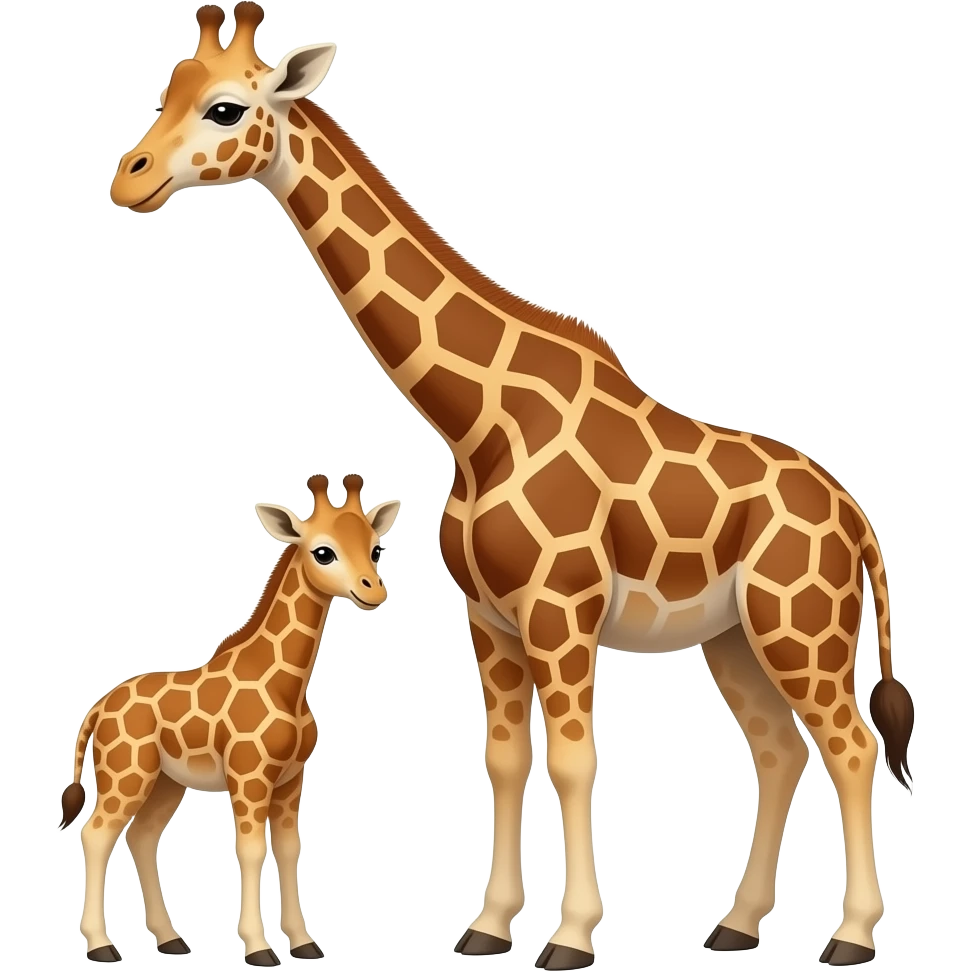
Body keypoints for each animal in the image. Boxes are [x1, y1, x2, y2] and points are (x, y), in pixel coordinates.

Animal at [58, 472, 401, 966]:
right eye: (323, 551)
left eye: (376, 548)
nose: (373, 590)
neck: (288, 686)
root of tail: (97, 708)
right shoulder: (249, 776)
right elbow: (252, 850)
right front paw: (259, 948)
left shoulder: (291, 779)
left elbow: (289, 849)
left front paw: (304, 942)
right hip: (126, 774)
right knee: (96, 834)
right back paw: (103, 946)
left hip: (166, 781)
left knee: (142, 837)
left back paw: (170, 939)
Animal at [107, 5, 914, 968]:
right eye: (167, 92)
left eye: (227, 108)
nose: (129, 176)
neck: (477, 425)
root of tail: (858, 519)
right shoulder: (489, 619)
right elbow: (503, 761)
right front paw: (489, 928)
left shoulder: (561, 611)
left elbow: (572, 760)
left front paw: (569, 937)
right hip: (734, 636)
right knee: (781, 749)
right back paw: (735, 924)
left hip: (803, 626)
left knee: (852, 745)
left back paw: (852, 937)